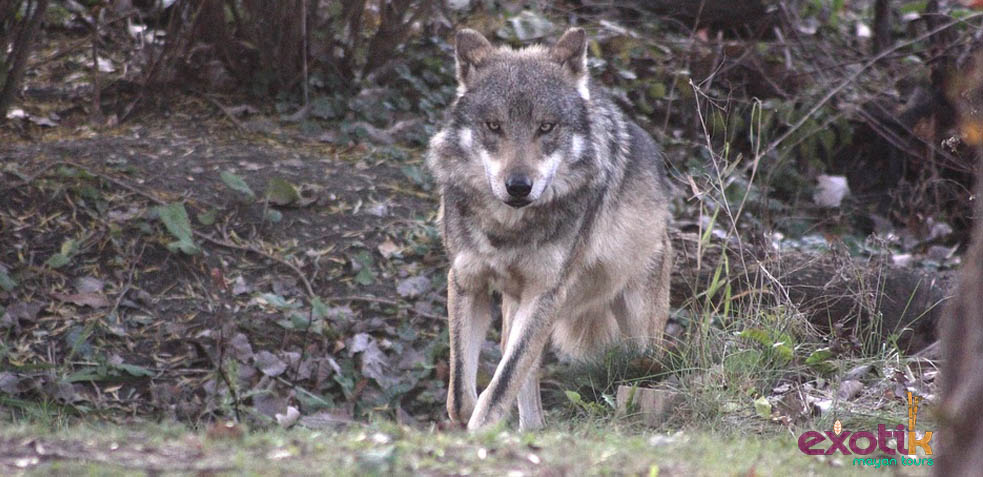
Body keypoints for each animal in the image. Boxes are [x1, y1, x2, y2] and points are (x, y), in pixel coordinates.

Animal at [426, 27, 673, 431]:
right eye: (494, 126)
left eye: (546, 127)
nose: (518, 186)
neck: (509, 228)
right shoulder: (465, 281)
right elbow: (462, 394)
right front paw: (470, 424)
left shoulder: (545, 293)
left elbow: (501, 384)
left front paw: (481, 430)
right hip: (517, 310)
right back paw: (530, 430)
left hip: (638, 334)